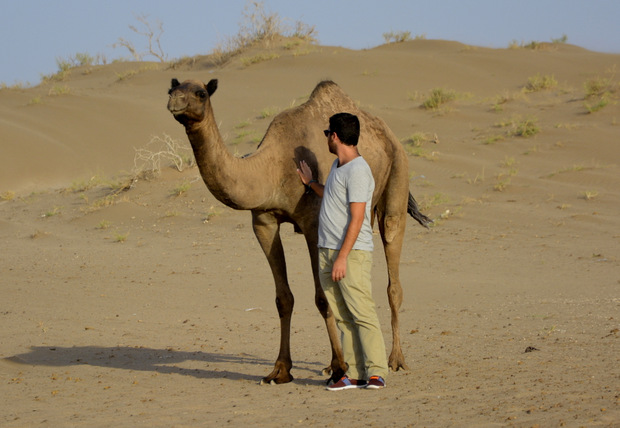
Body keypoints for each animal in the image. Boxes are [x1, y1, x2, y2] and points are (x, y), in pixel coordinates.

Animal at [168, 78, 432, 386]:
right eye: (171, 89)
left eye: (200, 93)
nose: (175, 101)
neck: (272, 167)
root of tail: (390, 136)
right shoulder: (264, 222)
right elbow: (283, 298)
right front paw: (280, 370)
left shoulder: (314, 224)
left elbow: (323, 298)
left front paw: (340, 368)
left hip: (398, 177)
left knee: (392, 265)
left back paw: (395, 360)